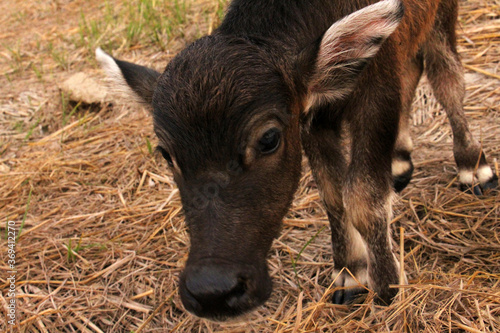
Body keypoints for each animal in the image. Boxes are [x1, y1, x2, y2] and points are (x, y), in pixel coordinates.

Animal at [96, 0, 496, 320]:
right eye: (166, 153)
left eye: (269, 138)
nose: (213, 292)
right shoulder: (313, 120)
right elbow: (333, 196)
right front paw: (350, 275)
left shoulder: (376, 94)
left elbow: (363, 197)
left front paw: (388, 289)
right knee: (414, 70)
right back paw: (398, 158)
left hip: (443, 17)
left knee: (445, 75)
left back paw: (473, 166)